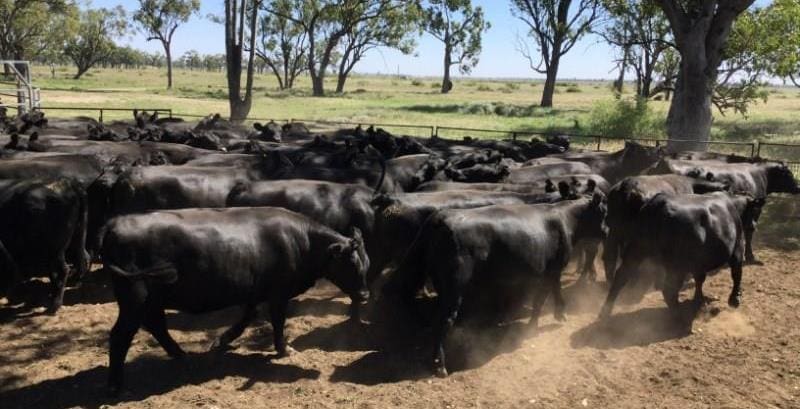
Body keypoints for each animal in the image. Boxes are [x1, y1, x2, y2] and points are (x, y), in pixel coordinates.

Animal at [0, 177, 89, 310]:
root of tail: (68, 183)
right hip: (76, 238)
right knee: (81, 260)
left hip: (56, 249)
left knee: (64, 269)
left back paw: (55, 304)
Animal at [422, 194, 604, 376]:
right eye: (603, 211)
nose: (606, 232)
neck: (565, 217)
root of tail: (444, 216)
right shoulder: (550, 271)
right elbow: (540, 299)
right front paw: (533, 326)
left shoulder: (553, 271)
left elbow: (555, 288)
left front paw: (560, 312)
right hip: (454, 289)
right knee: (443, 321)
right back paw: (440, 366)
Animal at [600, 191, 764, 326]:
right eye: (754, 211)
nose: (754, 226)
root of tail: (658, 204)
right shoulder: (737, 249)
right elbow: (736, 273)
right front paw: (735, 298)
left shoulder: (698, 263)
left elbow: (700, 279)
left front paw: (699, 299)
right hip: (676, 267)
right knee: (669, 290)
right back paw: (679, 317)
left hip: (635, 252)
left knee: (621, 277)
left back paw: (604, 313)